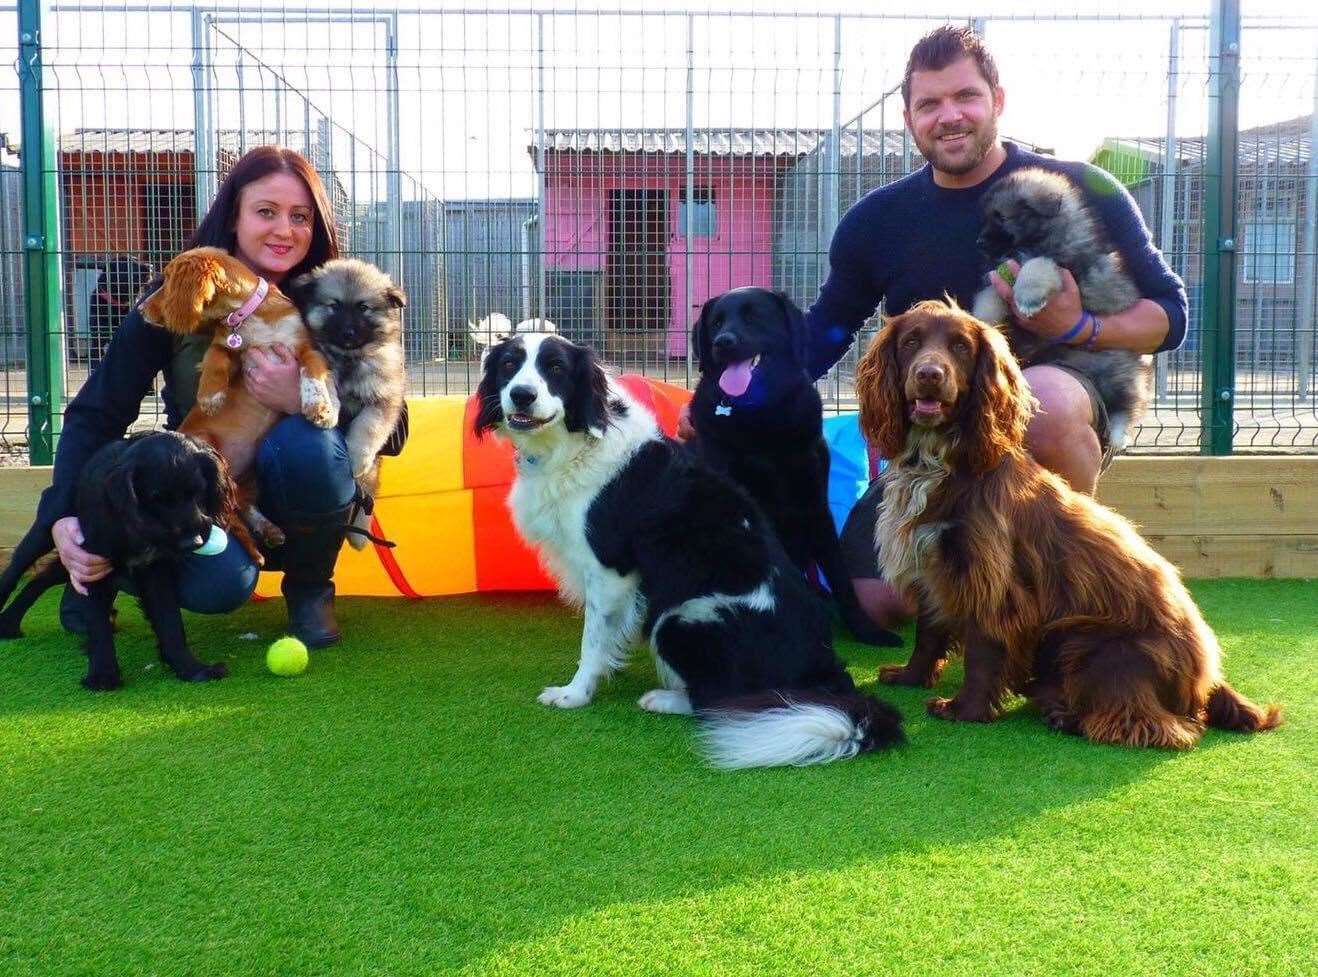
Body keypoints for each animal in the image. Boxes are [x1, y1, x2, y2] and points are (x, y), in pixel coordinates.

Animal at [1, 429, 237, 690]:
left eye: (198, 491)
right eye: (156, 498)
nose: (192, 543)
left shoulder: (156, 567)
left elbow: (170, 621)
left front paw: (190, 667)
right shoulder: (92, 562)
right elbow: (98, 623)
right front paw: (103, 675)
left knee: (39, 579)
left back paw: (10, 622)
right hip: (47, 529)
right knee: (14, 570)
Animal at [289, 259, 403, 545]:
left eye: (363, 308)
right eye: (335, 305)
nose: (348, 332)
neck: (349, 357)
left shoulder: (384, 399)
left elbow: (368, 429)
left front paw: (357, 458)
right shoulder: (321, 362)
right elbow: (326, 387)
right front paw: (327, 411)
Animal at [690, 286, 896, 643]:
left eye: (753, 316)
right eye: (716, 322)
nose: (722, 343)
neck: (761, 417)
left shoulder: (816, 504)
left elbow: (839, 572)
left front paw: (864, 628)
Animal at [854, 299, 1275, 748]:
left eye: (960, 347)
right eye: (911, 341)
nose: (929, 375)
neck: (939, 461)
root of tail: (1208, 677)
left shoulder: (991, 581)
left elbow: (982, 651)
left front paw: (965, 711)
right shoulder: (932, 565)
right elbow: (928, 633)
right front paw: (911, 678)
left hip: (1090, 642)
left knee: (1154, 724)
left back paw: (1069, 717)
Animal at [970, 168, 1154, 453]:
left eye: (1001, 217)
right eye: (988, 217)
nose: (978, 242)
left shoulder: (1065, 266)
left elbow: (1037, 265)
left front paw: (1028, 297)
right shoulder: (1001, 276)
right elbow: (988, 295)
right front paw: (983, 321)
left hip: (1116, 370)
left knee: (1128, 403)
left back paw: (1118, 434)